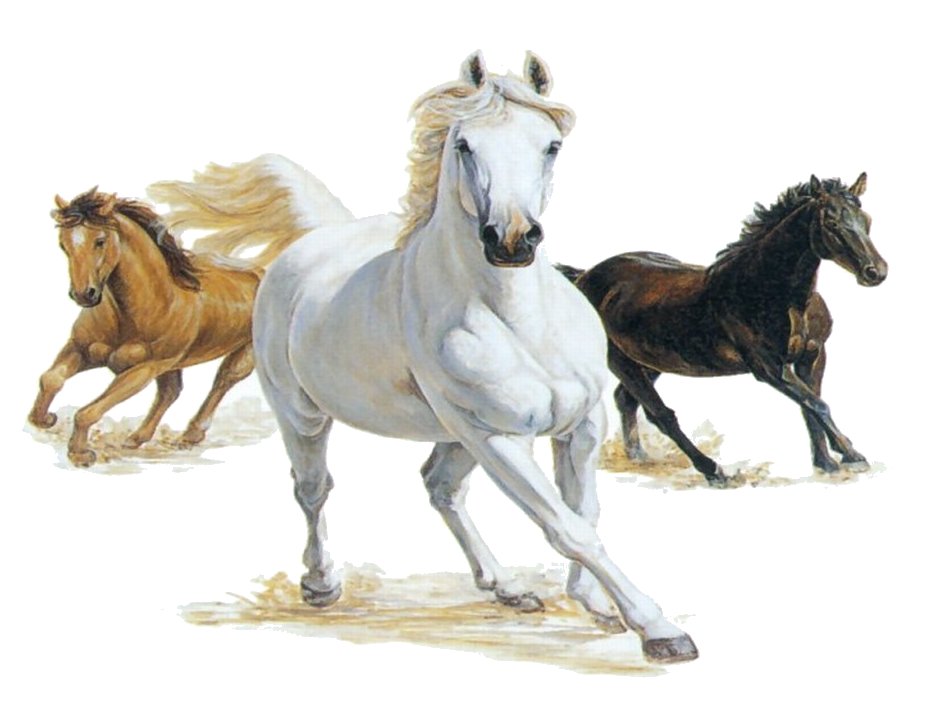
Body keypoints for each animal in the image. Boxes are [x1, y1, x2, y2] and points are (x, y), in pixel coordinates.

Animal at [28, 186, 302, 467]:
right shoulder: (81, 349)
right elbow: (50, 379)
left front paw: (80, 453)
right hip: (173, 364)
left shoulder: (143, 370)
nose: (84, 295)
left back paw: (190, 435)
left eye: (100, 241)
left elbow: (88, 411)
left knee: (222, 382)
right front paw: (44, 419)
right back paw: (137, 438)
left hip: (243, 354)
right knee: (171, 392)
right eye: (63, 244)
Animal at [150, 52, 698, 664]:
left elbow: (585, 512)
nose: (512, 241)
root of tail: (315, 244)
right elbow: (567, 527)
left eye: (551, 145)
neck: (518, 322)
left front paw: (597, 605)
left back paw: (505, 587)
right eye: (464, 144)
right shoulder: (496, 436)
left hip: (453, 433)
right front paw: (658, 629)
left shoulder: (578, 425)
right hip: (307, 415)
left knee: (440, 486)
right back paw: (321, 584)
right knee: (313, 489)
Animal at [559, 174, 887, 486]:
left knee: (626, 400)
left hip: (649, 361)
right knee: (661, 414)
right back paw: (713, 471)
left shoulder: (813, 356)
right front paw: (852, 456)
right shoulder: (769, 368)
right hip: (620, 361)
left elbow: (810, 406)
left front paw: (826, 464)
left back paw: (639, 457)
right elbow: (818, 405)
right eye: (831, 223)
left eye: (866, 219)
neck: (772, 292)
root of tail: (584, 277)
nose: (876, 272)